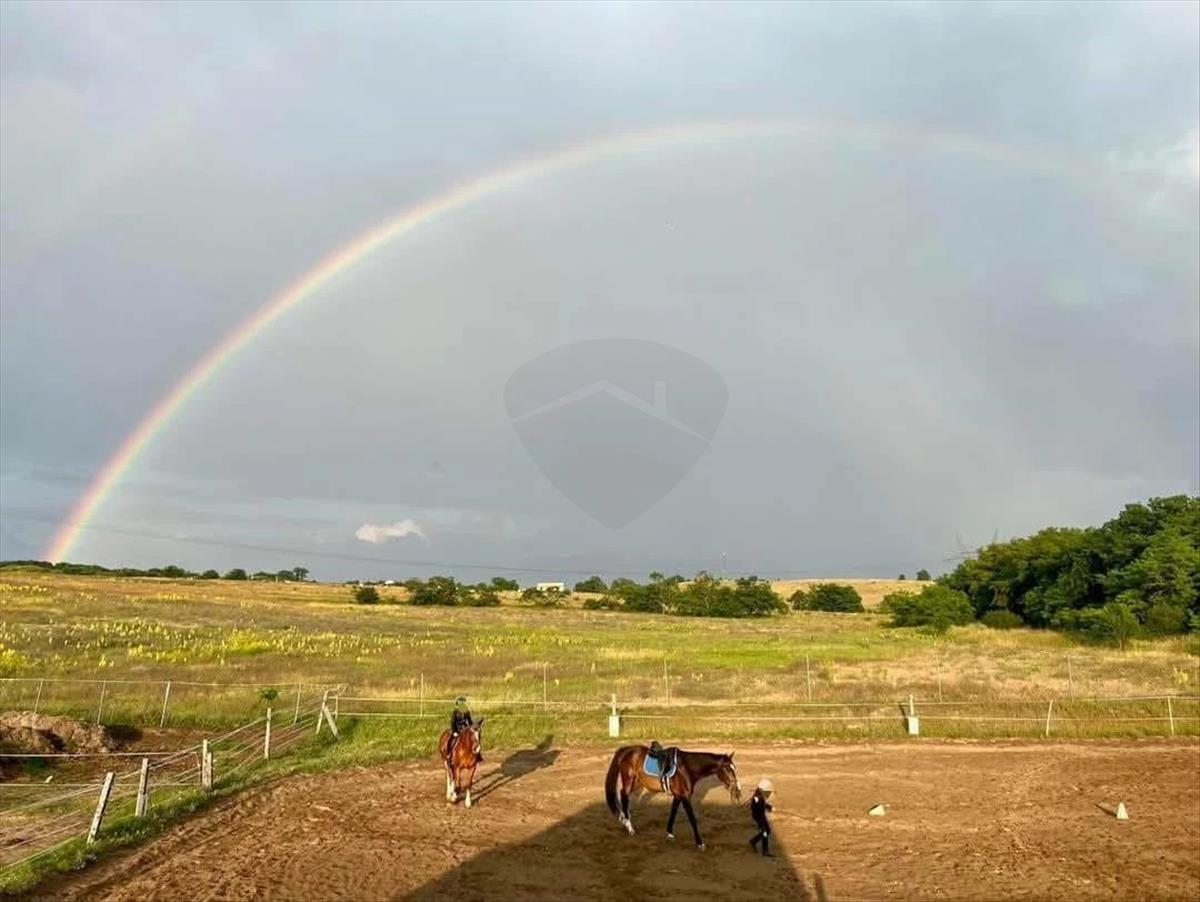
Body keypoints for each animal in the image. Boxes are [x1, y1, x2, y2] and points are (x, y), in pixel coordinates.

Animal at [604, 745, 741, 849]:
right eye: (728, 769)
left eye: (734, 768)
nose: (738, 790)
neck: (687, 767)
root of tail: (627, 750)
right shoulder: (685, 797)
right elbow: (692, 819)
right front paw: (700, 843)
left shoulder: (678, 795)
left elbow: (673, 812)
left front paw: (669, 833)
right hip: (629, 779)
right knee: (624, 795)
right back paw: (629, 827)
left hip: (637, 782)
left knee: (623, 794)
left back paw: (624, 818)